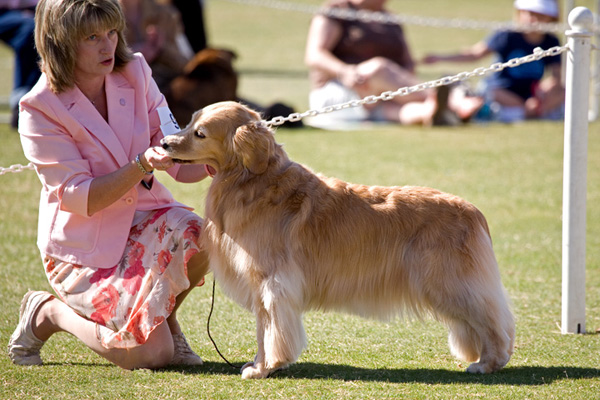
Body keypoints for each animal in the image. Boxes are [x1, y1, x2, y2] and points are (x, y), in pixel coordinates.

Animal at [161, 101, 516, 380]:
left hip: (449, 283)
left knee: (494, 321)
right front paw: (261, 363)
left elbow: (272, 330)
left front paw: (265, 367)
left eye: (200, 133)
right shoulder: (264, 284)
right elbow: (264, 330)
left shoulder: (271, 281)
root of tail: (473, 211)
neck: (252, 180)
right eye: (188, 122)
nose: (163, 143)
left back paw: (489, 363)